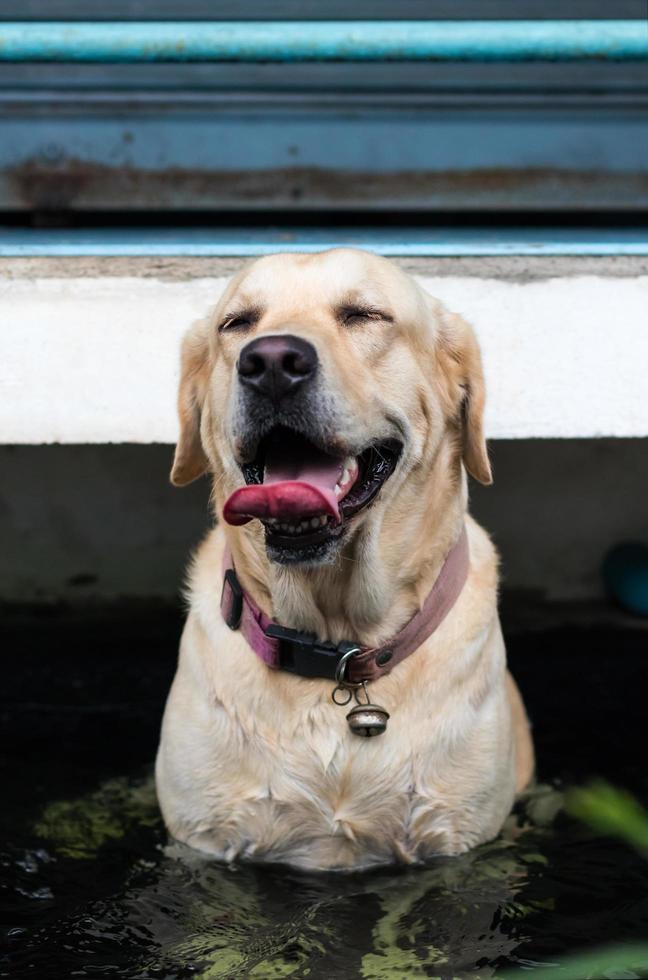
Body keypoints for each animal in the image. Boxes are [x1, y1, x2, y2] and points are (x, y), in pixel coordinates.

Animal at [154, 249, 536, 868]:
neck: (338, 647)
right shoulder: (202, 843)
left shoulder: (459, 844)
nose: (271, 362)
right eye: (237, 324)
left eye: (363, 315)